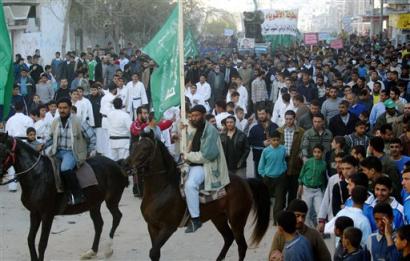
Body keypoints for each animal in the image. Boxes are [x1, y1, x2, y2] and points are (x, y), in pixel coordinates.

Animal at [0, 132, 129, 260]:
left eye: (4, 151)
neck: (38, 174)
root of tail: (117, 164)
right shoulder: (34, 213)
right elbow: (30, 240)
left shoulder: (47, 215)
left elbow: (42, 244)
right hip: (94, 204)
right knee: (99, 224)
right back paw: (92, 251)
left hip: (112, 200)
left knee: (117, 217)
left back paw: (108, 248)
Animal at [126, 133, 270, 258]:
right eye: (134, 145)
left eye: (145, 148)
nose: (125, 164)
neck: (161, 190)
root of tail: (244, 181)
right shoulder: (152, 227)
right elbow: (155, 253)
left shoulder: (168, 228)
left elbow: (153, 252)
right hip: (218, 217)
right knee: (228, 238)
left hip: (237, 220)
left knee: (242, 246)